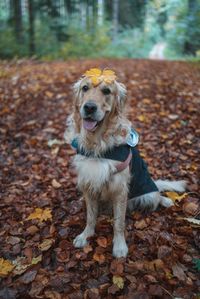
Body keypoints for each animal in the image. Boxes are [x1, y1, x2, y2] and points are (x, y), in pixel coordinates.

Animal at [65, 68, 187, 258]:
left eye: (106, 91)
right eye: (85, 88)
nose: (89, 107)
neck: (98, 143)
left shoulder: (120, 189)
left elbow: (119, 223)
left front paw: (119, 246)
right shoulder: (89, 182)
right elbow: (91, 216)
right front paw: (86, 235)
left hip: (147, 194)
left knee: (156, 194)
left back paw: (166, 200)